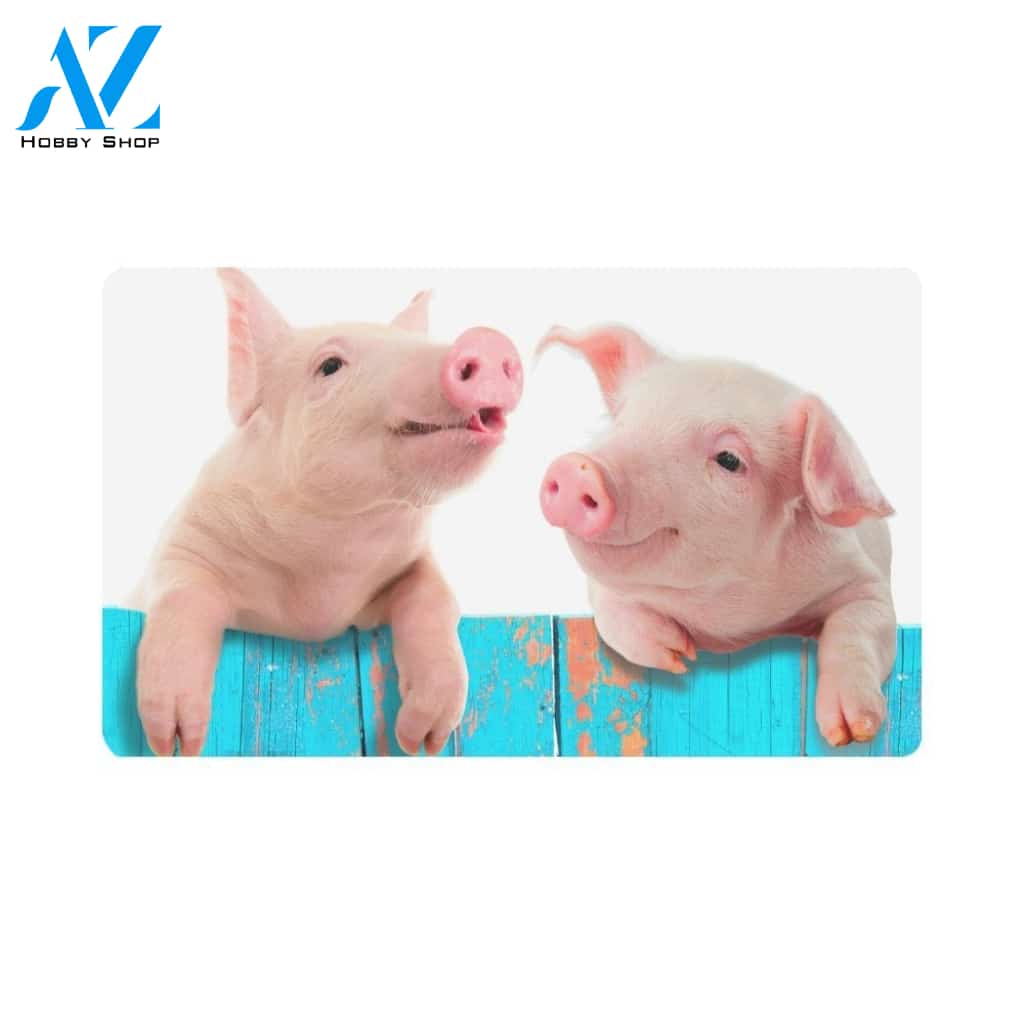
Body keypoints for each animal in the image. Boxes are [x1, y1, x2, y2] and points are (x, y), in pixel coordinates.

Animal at [130, 269, 523, 756]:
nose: (487, 340)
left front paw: (421, 740)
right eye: (330, 366)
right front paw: (175, 742)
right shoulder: (182, 548)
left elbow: (436, 596)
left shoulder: (411, 565)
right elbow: (180, 595)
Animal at [538, 323, 896, 747]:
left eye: (729, 459)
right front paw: (677, 654)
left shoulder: (864, 580)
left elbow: (859, 624)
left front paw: (852, 731)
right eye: (622, 418)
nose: (578, 468)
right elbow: (611, 606)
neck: (732, 622)